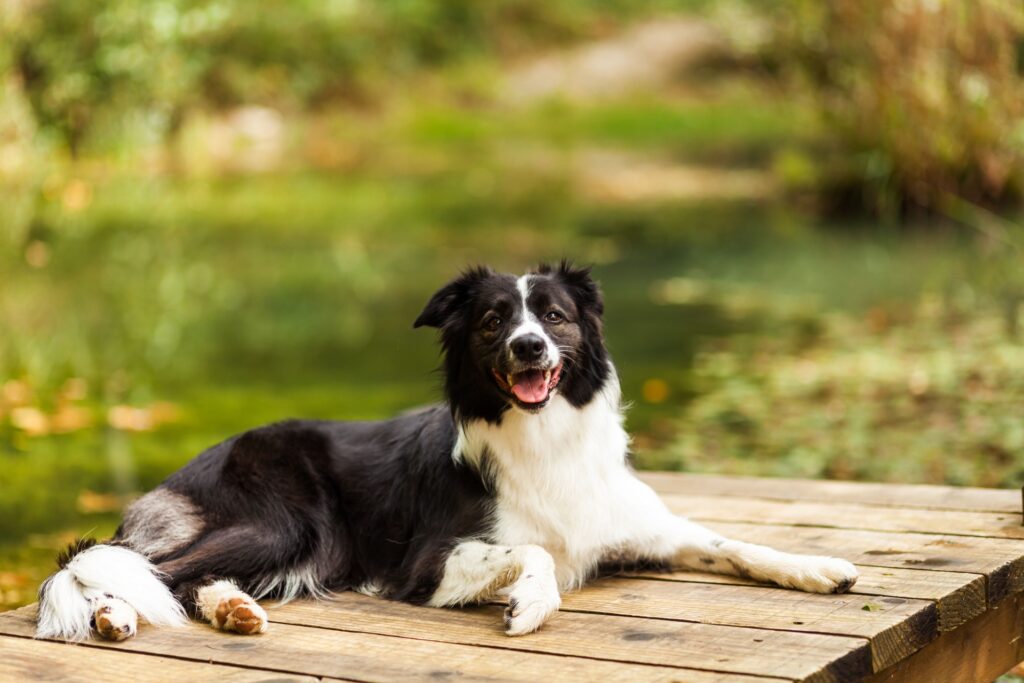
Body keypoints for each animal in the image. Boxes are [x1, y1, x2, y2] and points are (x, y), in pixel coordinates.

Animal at [37, 262, 856, 643]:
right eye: (495, 321)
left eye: (554, 316)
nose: (529, 347)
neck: (545, 438)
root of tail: (195, 462)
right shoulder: (428, 562)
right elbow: (535, 553)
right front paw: (531, 604)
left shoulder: (643, 527)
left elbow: (734, 542)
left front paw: (819, 567)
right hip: (288, 521)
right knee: (127, 562)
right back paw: (114, 616)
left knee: (171, 573)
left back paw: (232, 608)